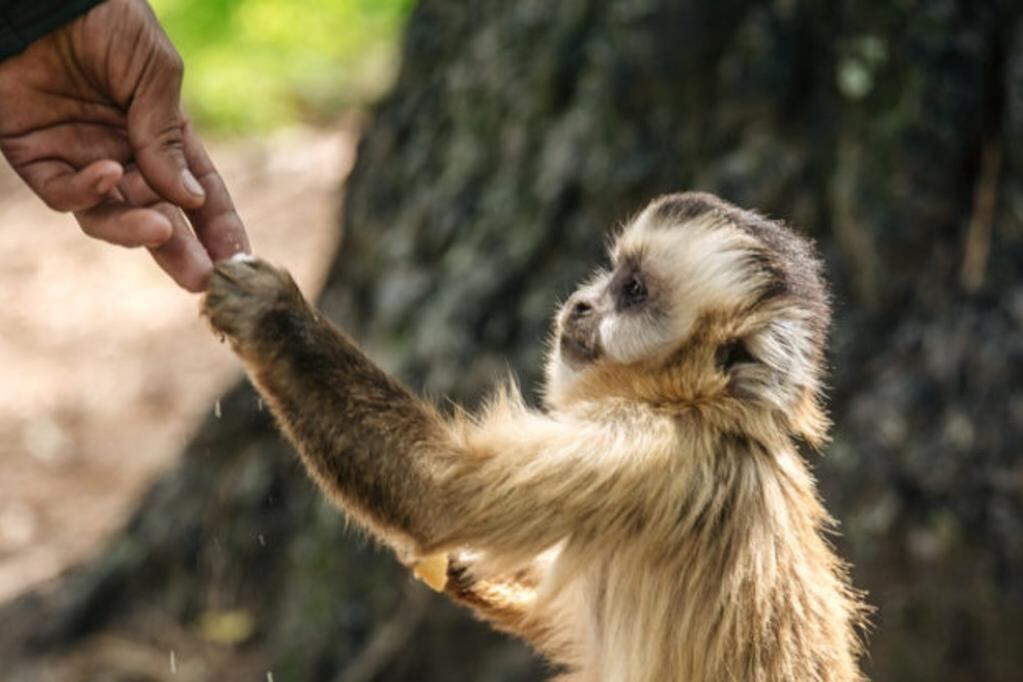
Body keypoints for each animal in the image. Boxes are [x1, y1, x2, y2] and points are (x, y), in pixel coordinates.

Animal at [201, 191, 871, 682]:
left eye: (633, 291)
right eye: (611, 274)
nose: (581, 303)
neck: (707, 413)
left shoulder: (650, 450)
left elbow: (439, 496)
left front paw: (273, 317)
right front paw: (463, 570)